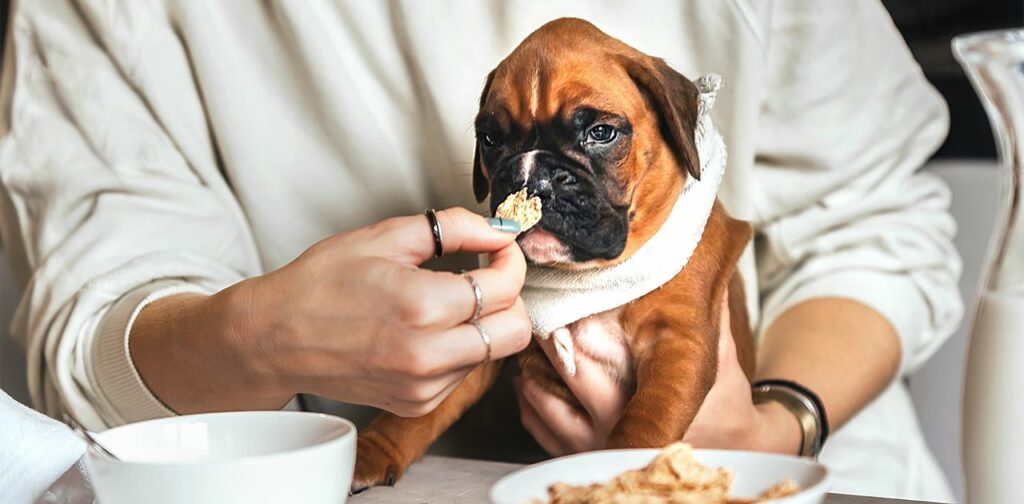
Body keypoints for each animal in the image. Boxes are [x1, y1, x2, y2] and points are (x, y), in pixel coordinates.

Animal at [352, 17, 753, 489]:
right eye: (491, 139)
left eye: (600, 133)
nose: (533, 177)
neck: (587, 279)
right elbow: (417, 414)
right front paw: (370, 451)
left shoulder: (677, 344)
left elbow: (644, 424)